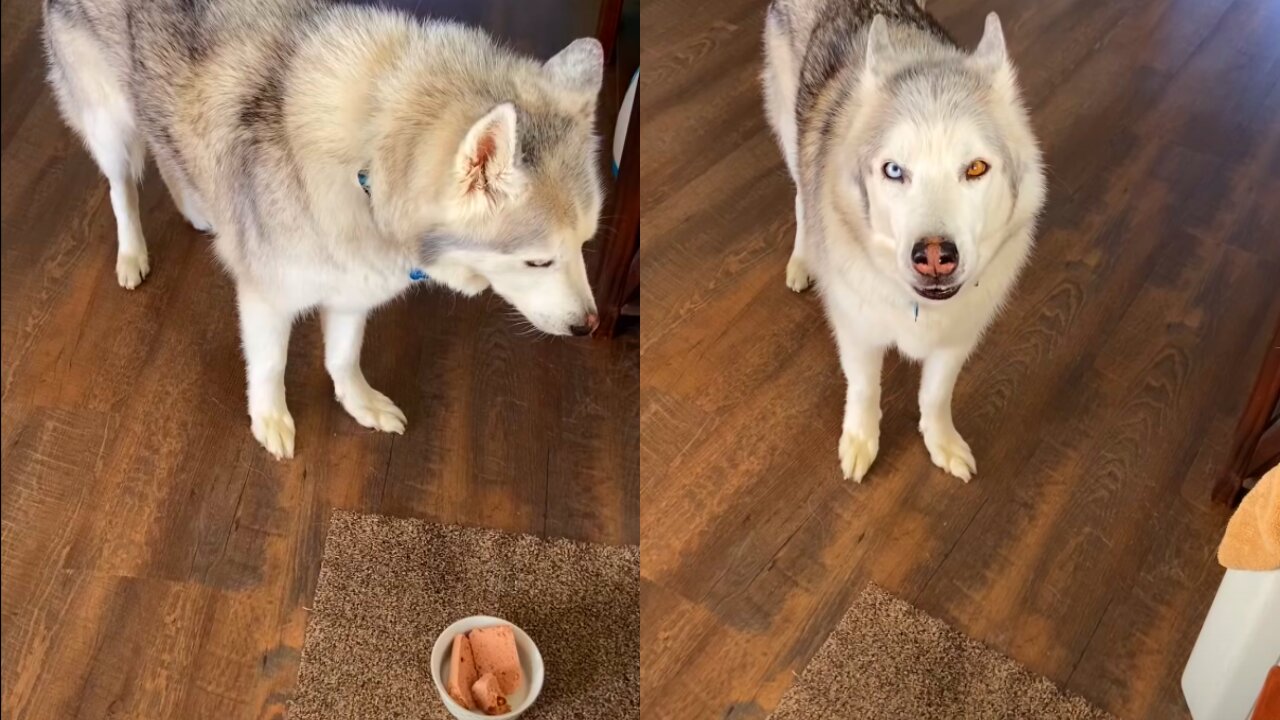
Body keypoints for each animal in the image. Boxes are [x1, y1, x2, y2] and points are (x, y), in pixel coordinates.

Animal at [47, 0, 606, 456]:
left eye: (585, 244)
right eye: (538, 260)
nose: (590, 327)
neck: (367, 165)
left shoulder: (352, 289)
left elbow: (344, 357)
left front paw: (359, 403)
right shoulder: (267, 298)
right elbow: (270, 366)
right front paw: (269, 420)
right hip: (110, 124)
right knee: (122, 187)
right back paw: (132, 253)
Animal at [757, 2, 1039, 481]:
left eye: (976, 168)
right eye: (894, 170)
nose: (935, 257)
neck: (920, 307)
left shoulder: (958, 339)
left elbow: (935, 395)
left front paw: (940, 441)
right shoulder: (857, 330)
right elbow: (864, 389)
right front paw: (860, 441)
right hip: (790, 131)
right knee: (800, 197)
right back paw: (802, 260)